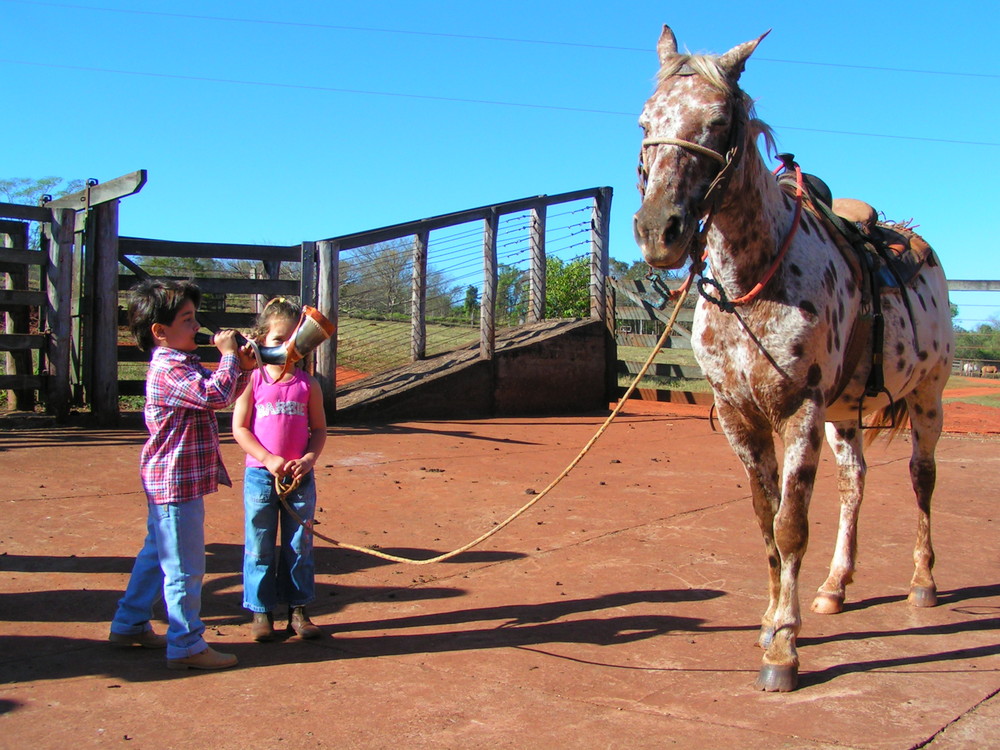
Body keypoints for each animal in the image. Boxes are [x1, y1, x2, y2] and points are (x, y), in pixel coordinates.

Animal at [632, 23, 952, 692]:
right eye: (646, 120)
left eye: (718, 119)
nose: (658, 231)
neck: (751, 286)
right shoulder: (741, 418)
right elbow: (767, 522)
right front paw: (774, 617)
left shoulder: (799, 412)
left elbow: (790, 525)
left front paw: (782, 645)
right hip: (846, 414)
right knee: (855, 482)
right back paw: (835, 586)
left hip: (927, 398)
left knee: (922, 478)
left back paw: (923, 582)